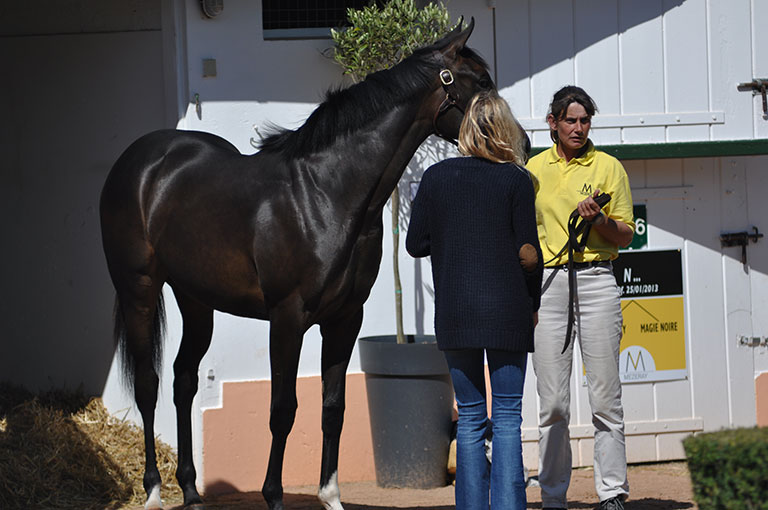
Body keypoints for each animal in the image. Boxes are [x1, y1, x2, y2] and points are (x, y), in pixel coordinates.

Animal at [100, 19, 506, 510]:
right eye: (480, 82)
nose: (520, 143)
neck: (325, 194)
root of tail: (140, 160)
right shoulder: (287, 318)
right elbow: (283, 409)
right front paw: (274, 495)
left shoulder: (345, 319)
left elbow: (333, 408)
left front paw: (330, 496)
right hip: (138, 290)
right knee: (147, 384)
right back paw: (155, 490)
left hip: (195, 299)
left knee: (184, 381)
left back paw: (192, 490)